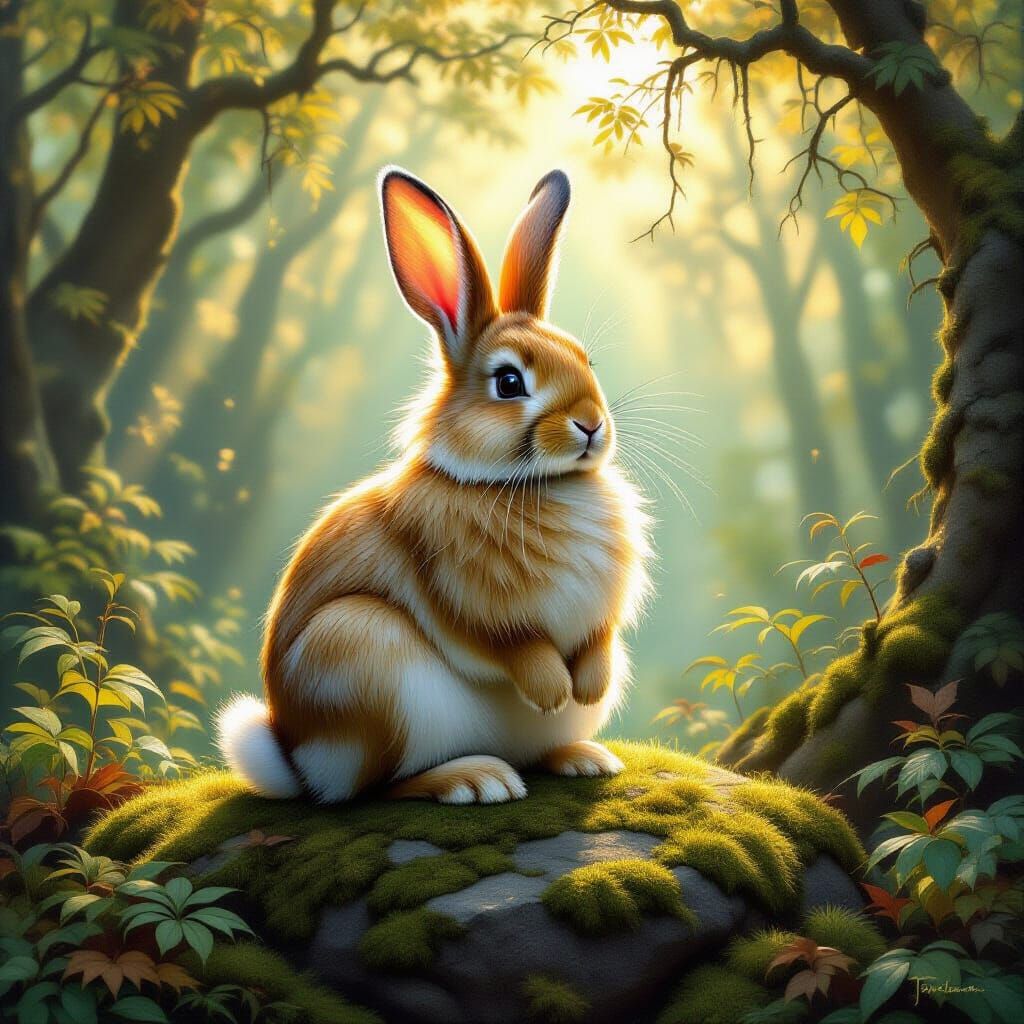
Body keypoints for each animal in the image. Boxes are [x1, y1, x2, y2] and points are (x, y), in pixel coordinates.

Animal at [216, 166, 651, 804]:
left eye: (584, 359)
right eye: (509, 382)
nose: (591, 423)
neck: (537, 484)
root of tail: (296, 762)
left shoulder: (601, 621)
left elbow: (598, 639)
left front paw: (589, 687)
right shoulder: (468, 605)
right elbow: (512, 646)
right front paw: (552, 690)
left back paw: (583, 757)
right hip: (363, 660)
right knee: (377, 788)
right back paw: (474, 779)